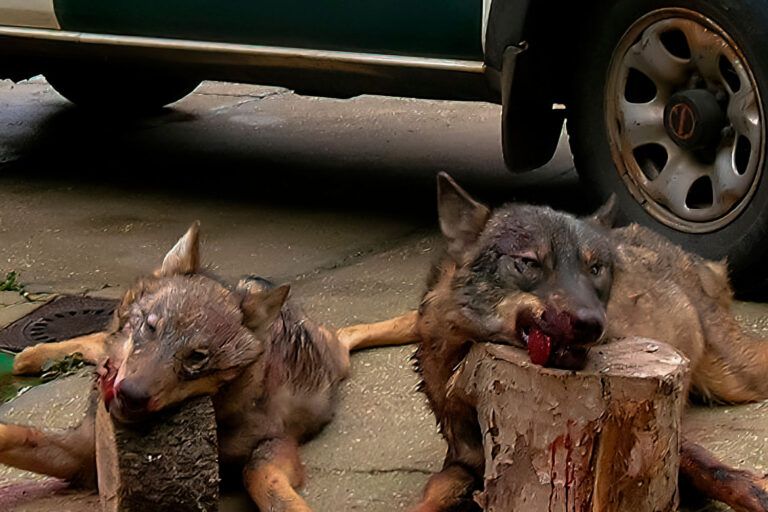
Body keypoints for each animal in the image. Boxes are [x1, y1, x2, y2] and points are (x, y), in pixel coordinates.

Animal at [2, 222, 413, 511]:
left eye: (197, 357)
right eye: (151, 327)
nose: (129, 395)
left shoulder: (277, 442)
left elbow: (259, 475)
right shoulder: (79, 452)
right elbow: (15, 433)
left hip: (334, 358)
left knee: (349, 331)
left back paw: (412, 322)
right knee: (96, 340)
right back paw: (33, 355)